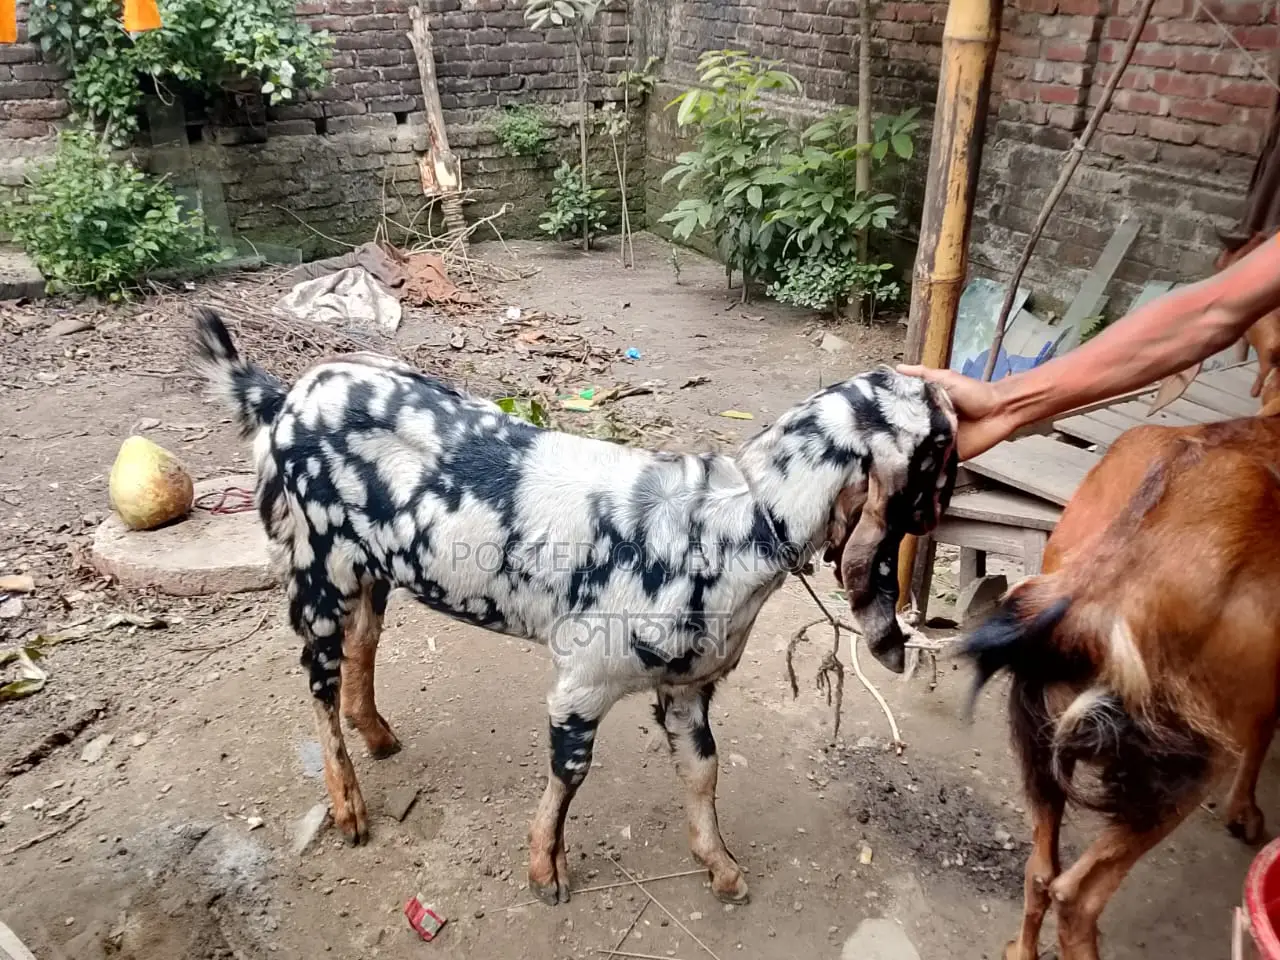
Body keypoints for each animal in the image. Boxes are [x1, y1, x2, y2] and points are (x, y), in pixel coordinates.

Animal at [192, 308, 958, 906]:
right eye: (942, 444)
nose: (943, 511)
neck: (728, 523)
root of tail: (282, 396)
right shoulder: (582, 681)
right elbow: (570, 774)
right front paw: (544, 869)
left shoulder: (688, 686)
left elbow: (704, 772)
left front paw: (722, 869)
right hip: (312, 567)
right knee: (318, 682)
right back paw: (349, 806)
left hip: (370, 570)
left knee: (362, 645)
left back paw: (377, 733)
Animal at [965, 395, 1280, 960]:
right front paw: (1245, 814)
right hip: (1187, 759)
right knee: (1076, 896)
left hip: (1045, 735)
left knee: (1041, 870)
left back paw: (1020, 950)